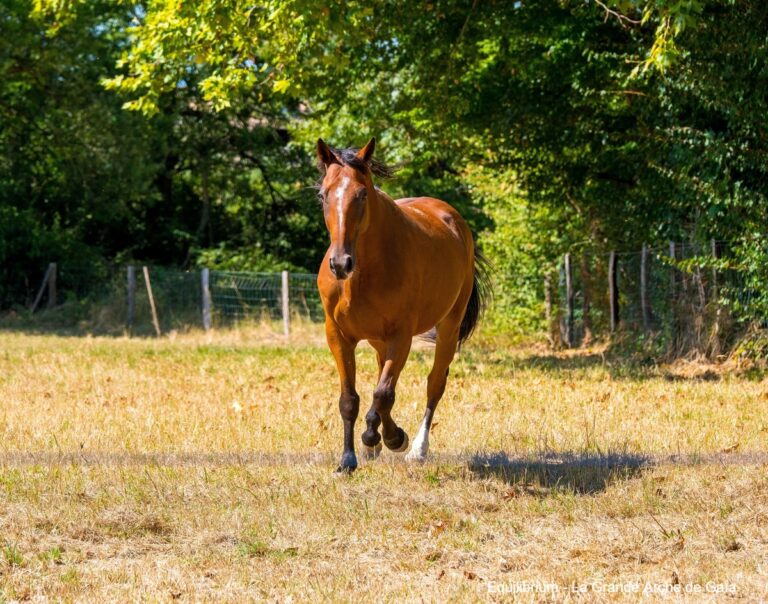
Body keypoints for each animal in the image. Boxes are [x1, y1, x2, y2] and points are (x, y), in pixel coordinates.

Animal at [315, 138, 489, 472]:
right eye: (323, 194)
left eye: (363, 193)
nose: (340, 263)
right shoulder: (338, 336)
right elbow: (350, 399)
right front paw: (349, 459)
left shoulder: (401, 336)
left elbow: (383, 394)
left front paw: (390, 438)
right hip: (377, 340)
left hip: (448, 327)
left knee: (435, 383)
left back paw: (417, 449)